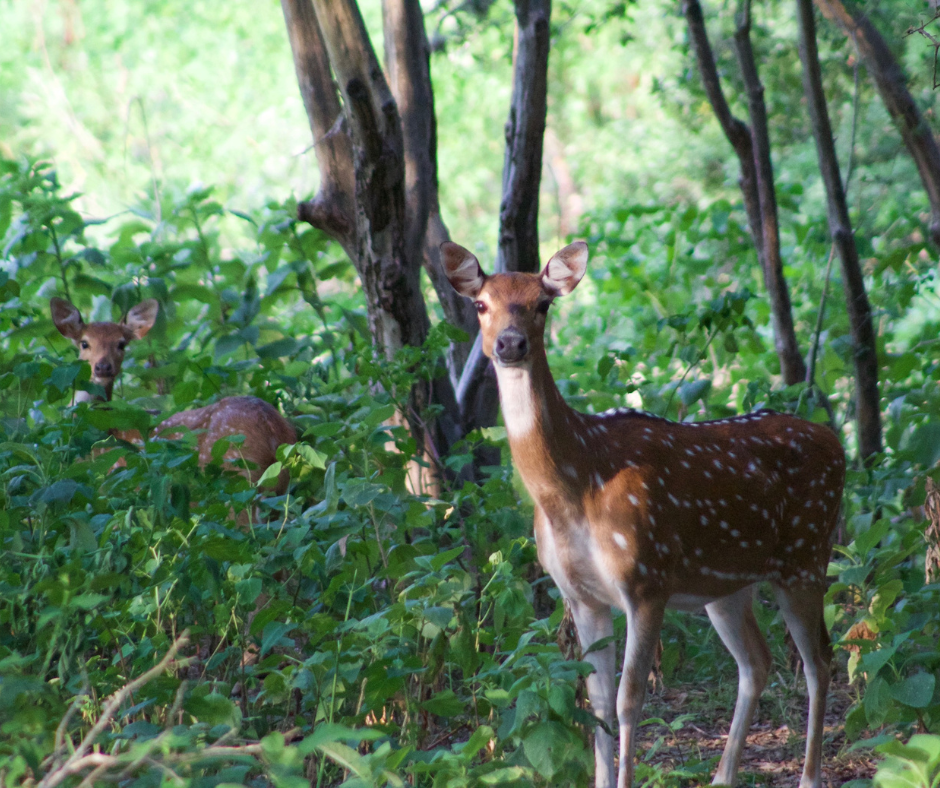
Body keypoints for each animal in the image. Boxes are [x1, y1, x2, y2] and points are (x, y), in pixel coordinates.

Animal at [50, 297, 295, 496]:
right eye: (84, 343)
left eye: (121, 344)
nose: (102, 367)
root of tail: (273, 429)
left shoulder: (118, 480)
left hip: (234, 468)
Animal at [441, 241, 845, 788]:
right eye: (482, 304)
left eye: (542, 303)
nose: (509, 343)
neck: (575, 485)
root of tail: (837, 443)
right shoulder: (581, 595)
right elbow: (596, 703)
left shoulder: (646, 580)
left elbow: (629, 702)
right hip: (728, 584)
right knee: (757, 663)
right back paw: (722, 776)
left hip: (806, 555)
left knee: (819, 661)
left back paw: (808, 774)